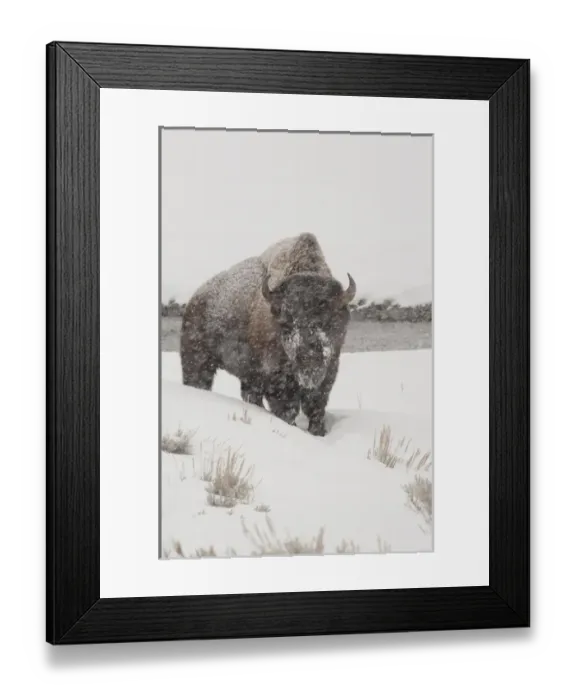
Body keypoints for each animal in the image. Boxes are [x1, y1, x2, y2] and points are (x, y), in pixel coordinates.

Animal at [179, 233, 356, 436]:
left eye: (329, 320)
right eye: (286, 322)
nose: (309, 357)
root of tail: (194, 300)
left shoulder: (329, 372)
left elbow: (316, 407)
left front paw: (318, 432)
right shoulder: (277, 382)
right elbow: (287, 410)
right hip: (198, 362)